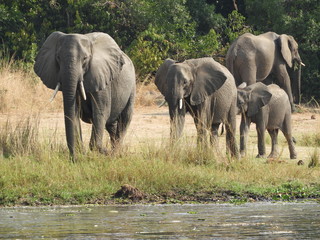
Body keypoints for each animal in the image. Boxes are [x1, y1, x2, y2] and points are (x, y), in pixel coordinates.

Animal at [34, 31, 136, 160]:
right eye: (58, 58)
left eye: (85, 59)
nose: (74, 159)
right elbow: (74, 112)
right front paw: (82, 152)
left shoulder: (102, 78)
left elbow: (101, 112)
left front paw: (103, 152)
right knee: (111, 125)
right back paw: (114, 152)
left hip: (132, 86)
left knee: (124, 119)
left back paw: (115, 153)